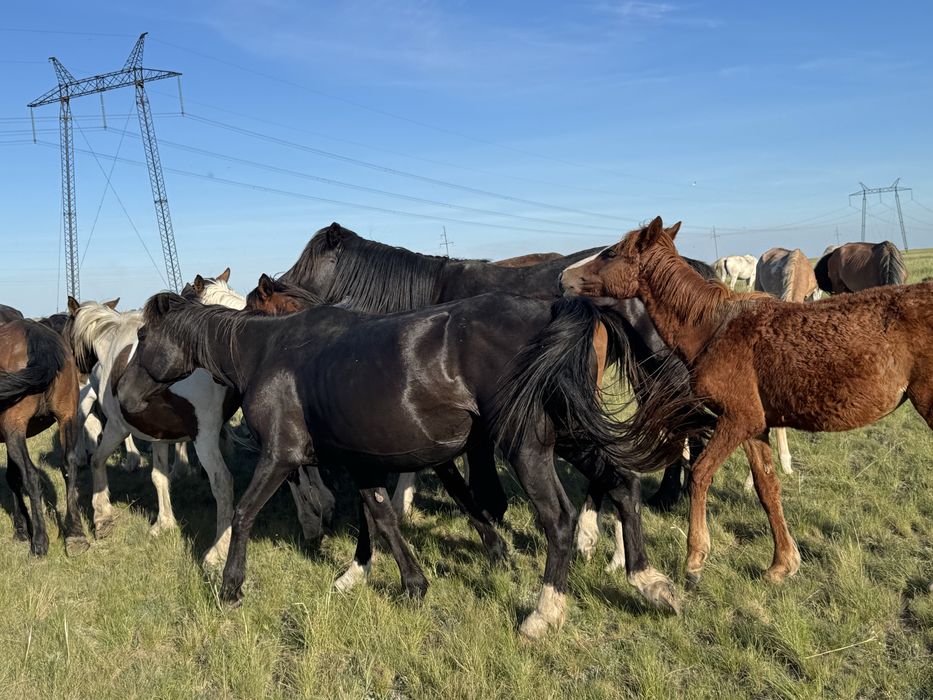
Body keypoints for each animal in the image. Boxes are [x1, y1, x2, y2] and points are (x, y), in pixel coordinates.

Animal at [0, 312, 89, 556]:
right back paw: (75, 533)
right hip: (67, 417)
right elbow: (12, 476)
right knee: (69, 465)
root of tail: (35, 334)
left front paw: (23, 531)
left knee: (31, 476)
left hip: (14, 428)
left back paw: (39, 540)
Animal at [67, 296, 327, 568]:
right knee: (291, 473)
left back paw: (218, 551)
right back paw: (312, 522)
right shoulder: (159, 435)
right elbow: (159, 477)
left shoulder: (117, 426)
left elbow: (98, 460)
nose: (78, 377)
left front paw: (102, 516)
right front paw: (164, 523)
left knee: (223, 482)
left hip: (205, 438)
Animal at [121, 286, 703, 638]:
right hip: (573, 435)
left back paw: (543, 613)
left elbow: (243, 515)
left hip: (528, 446)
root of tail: (559, 310)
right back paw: (650, 582)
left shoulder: (281, 456)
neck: (268, 353)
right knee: (623, 485)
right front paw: (396, 582)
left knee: (559, 521)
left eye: (144, 337)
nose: (123, 397)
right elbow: (379, 517)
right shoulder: (359, 462)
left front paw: (231, 586)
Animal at [560, 216, 933, 589]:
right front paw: (782, 564)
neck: (713, 328)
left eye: (611, 253)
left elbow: (700, 473)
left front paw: (695, 560)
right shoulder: (755, 427)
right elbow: (767, 488)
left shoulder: (738, 420)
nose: (564, 277)